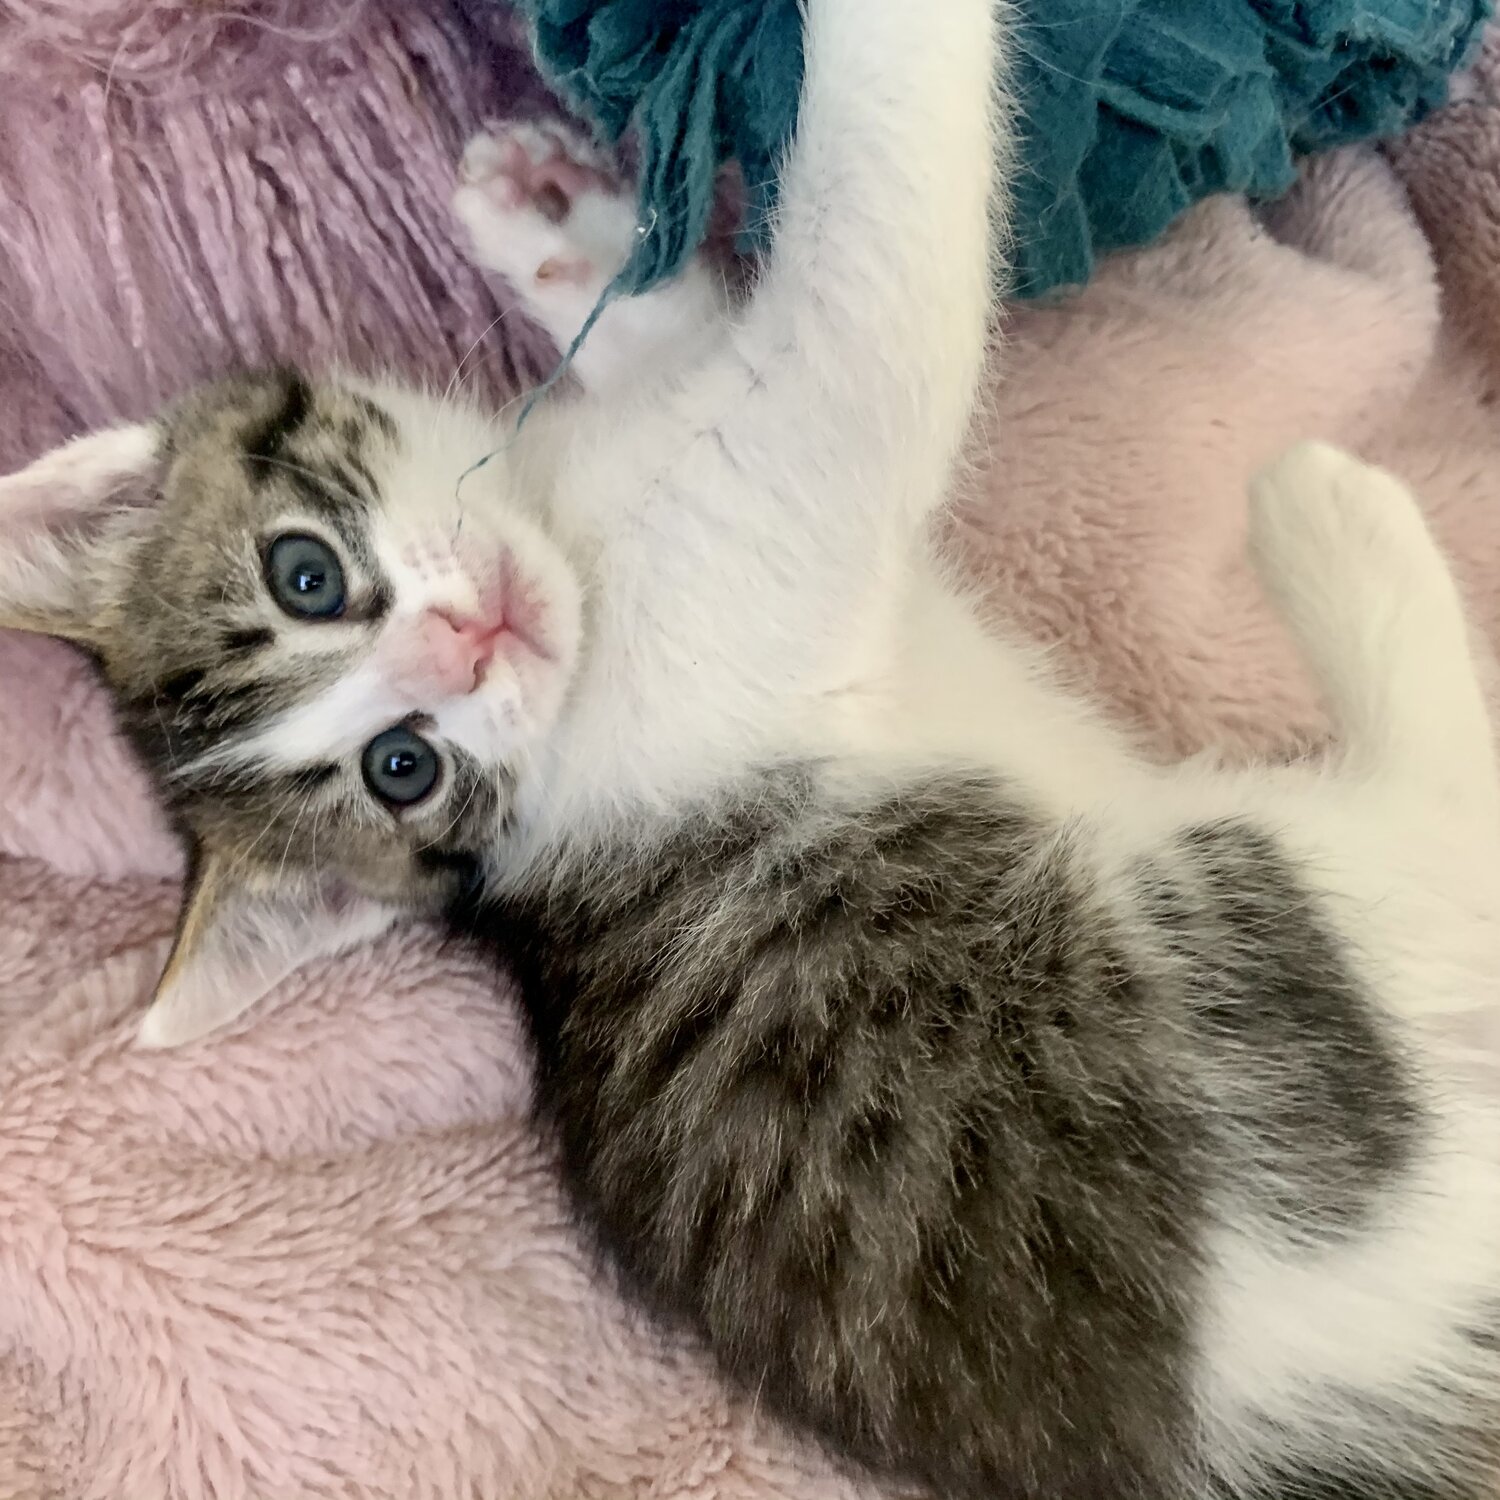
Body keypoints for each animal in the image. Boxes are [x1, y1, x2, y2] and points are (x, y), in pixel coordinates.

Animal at [2, 2, 1500, 1500]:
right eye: (403, 769)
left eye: (303, 576)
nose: (469, 647)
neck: (584, 555)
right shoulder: (786, 493)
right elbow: (865, 272)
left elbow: (710, 328)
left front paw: (550, 226)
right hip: (1264, 953)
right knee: (1444, 823)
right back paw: (1330, 519)